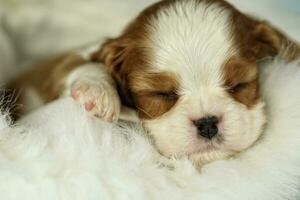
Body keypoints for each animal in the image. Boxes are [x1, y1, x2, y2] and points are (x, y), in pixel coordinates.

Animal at [7, 0, 300, 166]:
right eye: (161, 94)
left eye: (239, 85)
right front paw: (98, 92)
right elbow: (82, 64)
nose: (207, 124)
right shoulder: (58, 67)